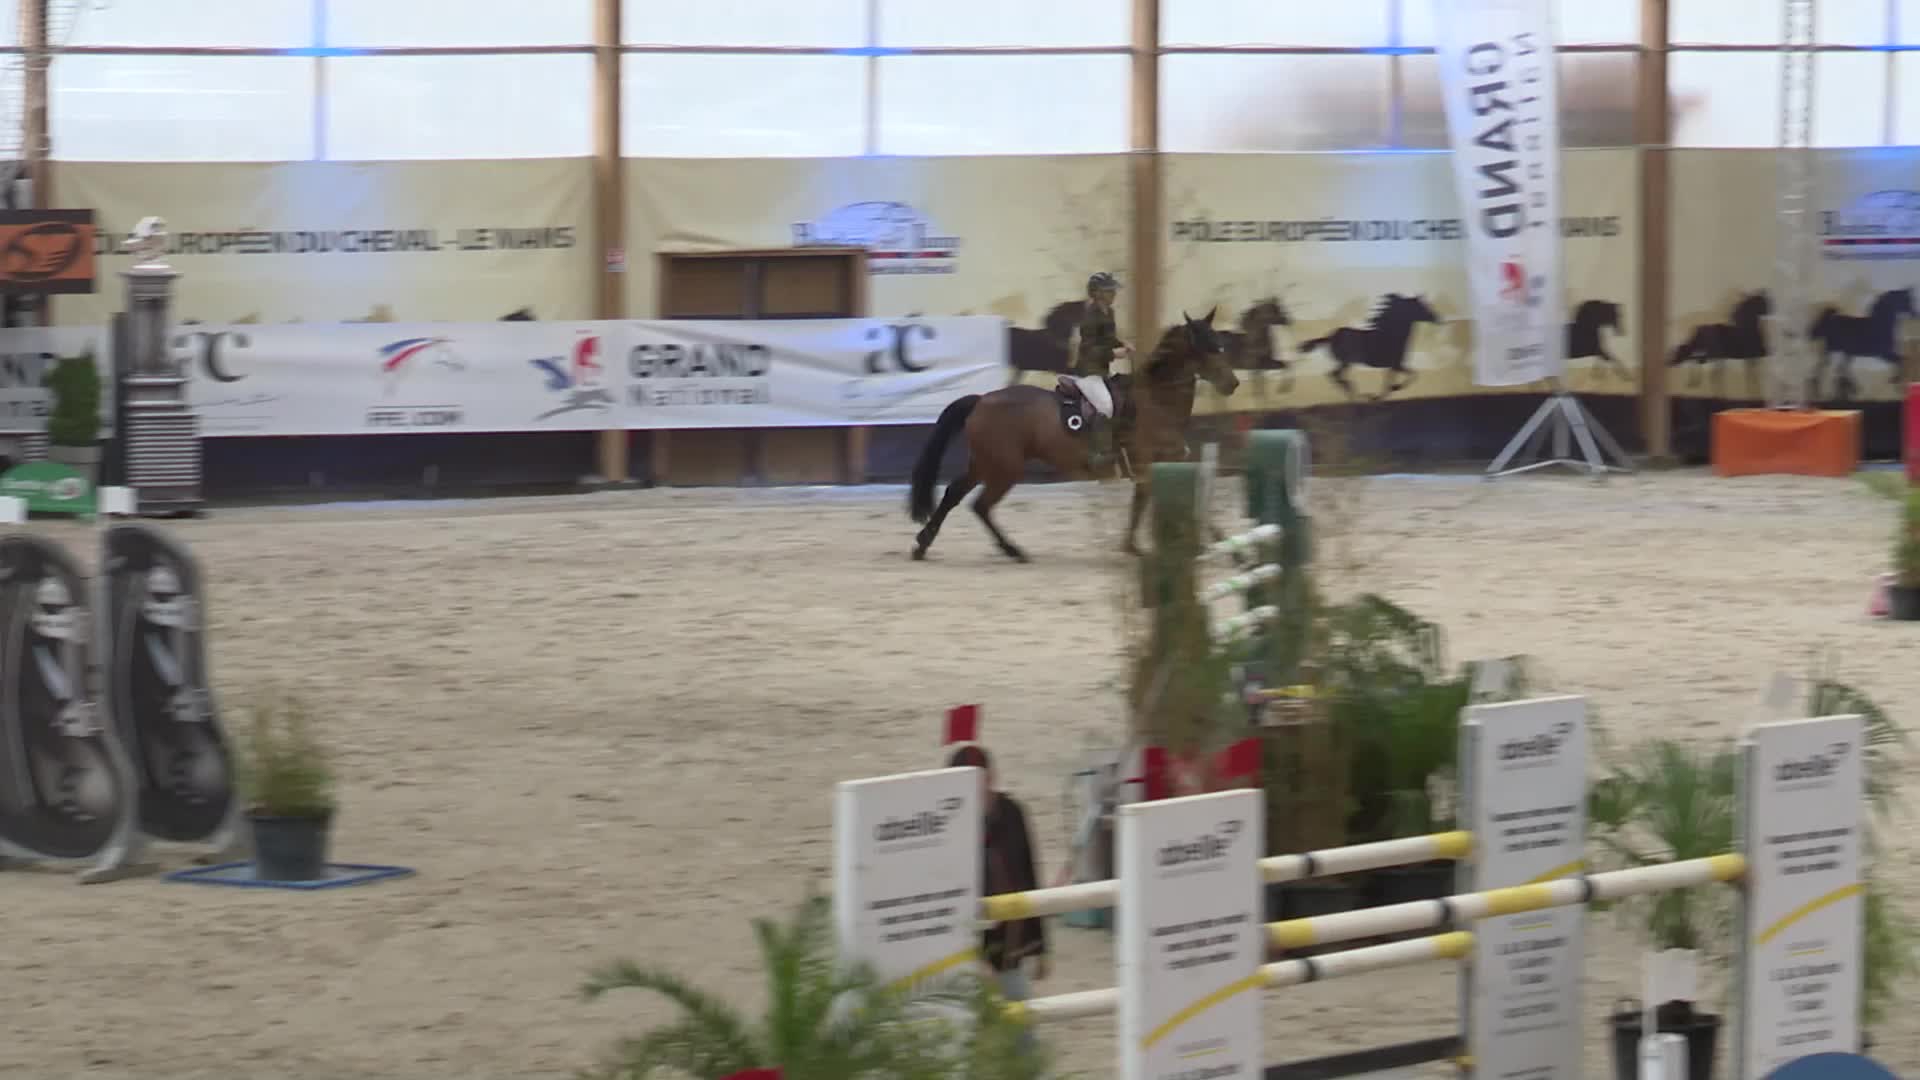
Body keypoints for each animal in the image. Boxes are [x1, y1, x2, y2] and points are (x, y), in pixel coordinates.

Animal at [909, 309, 1238, 563]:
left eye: (1221, 345)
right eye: (1206, 348)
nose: (1232, 384)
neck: (1157, 402)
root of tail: (982, 399)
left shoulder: (1163, 466)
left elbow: (1176, 499)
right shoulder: (1148, 466)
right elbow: (1169, 503)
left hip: (985, 463)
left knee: (954, 493)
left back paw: (924, 544)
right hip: (1005, 468)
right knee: (981, 505)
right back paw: (1013, 550)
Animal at [1297, 293, 1440, 401]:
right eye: (1421, 307)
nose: (1437, 318)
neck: (1392, 335)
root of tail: (1331, 337)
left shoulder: (1394, 365)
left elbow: (1391, 381)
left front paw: (1380, 395)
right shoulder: (1396, 364)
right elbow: (1413, 375)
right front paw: (1393, 389)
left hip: (1345, 362)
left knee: (1334, 375)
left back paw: (1355, 394)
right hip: (1345, 361)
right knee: (1334, 375)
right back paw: (1355, 395)